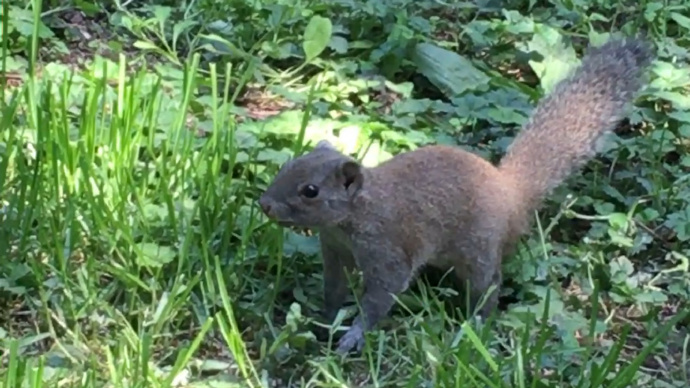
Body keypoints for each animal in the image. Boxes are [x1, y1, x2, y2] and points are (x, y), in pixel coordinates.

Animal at [256, 37, 652, 354]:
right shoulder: (334, 250)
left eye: (311, 191)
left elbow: (381, 297)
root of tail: (510, 193)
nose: (264, 204)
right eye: (288, 165)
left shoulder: (387, 250)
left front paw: (353, 336)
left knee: (488, 286)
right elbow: (334, 289)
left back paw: (477, 326)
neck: (355, 215)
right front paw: (323, 318)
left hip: (479, 250)